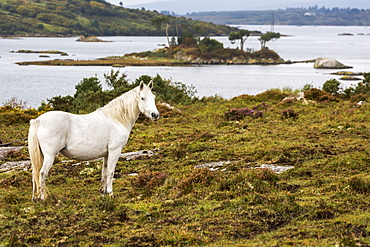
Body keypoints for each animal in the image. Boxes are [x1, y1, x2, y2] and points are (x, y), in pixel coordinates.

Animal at [28, 81, 159, 201]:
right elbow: (111, 172)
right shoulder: (115, 151)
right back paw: (42, 197)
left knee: (35, 173)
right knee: (42, 173)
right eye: (142, 98)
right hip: (49, 155)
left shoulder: (107, 154)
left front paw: (103, 192)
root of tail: (38, 120)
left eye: (153, 97)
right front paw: (110, 193)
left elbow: (104, 172)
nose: (155, 115)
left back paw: (35, 197)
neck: (116, 119)